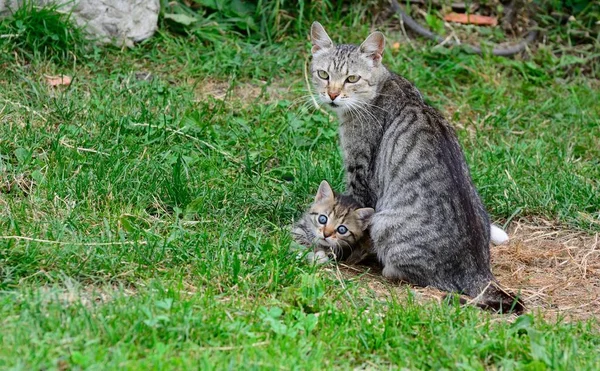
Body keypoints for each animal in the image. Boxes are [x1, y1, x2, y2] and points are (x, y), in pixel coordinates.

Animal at [308, 22, 524, 314]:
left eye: (352, 78)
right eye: (323, 74)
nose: (331, 94)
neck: (383, 86)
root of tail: (479, 272)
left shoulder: (360, 173)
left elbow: (350, 220)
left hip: (383, 223)